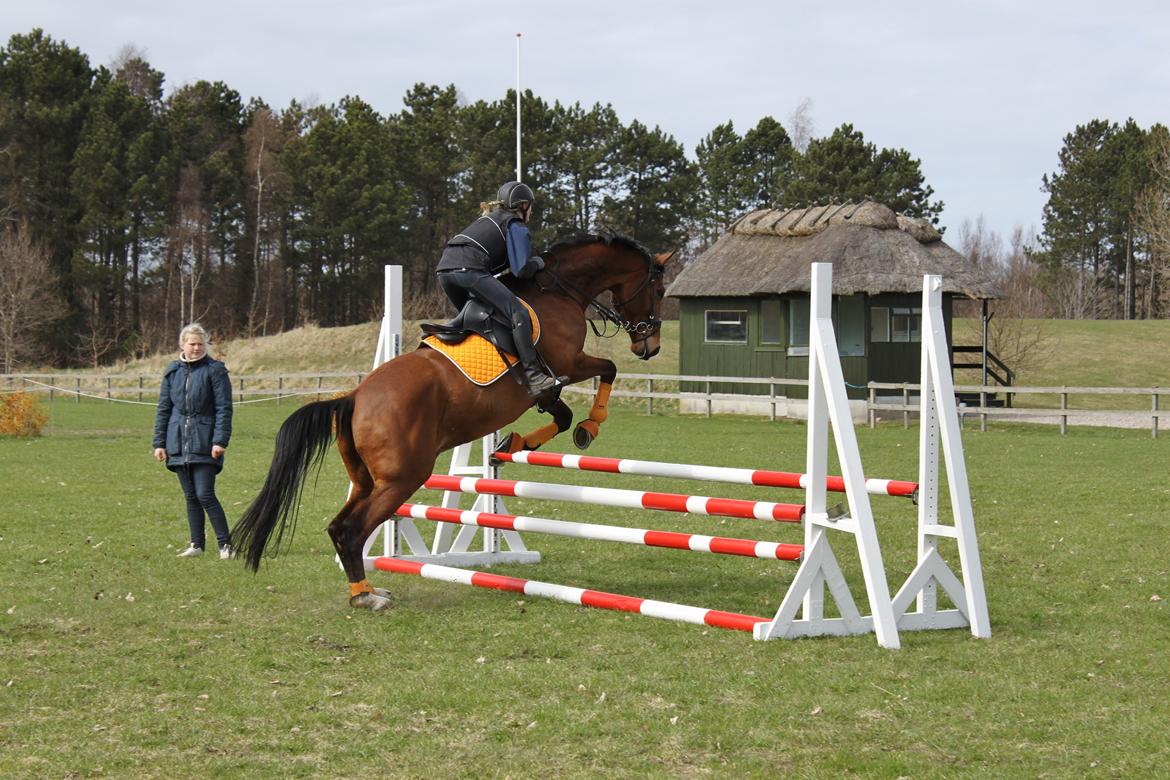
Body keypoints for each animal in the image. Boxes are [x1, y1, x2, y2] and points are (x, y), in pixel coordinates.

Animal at [232, 233, 673, 608]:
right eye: (659, 291)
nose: (649, 346)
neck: (560, 290)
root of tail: (354, 398)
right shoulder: (569, 363)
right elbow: (609, 370)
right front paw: (591, 425)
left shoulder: (548, 388)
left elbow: (562, 416)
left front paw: (516, 444)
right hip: (403, 477)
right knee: (353, 529)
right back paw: (367, 597)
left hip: (367, 479)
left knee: (339, 528)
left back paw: (366, 589)